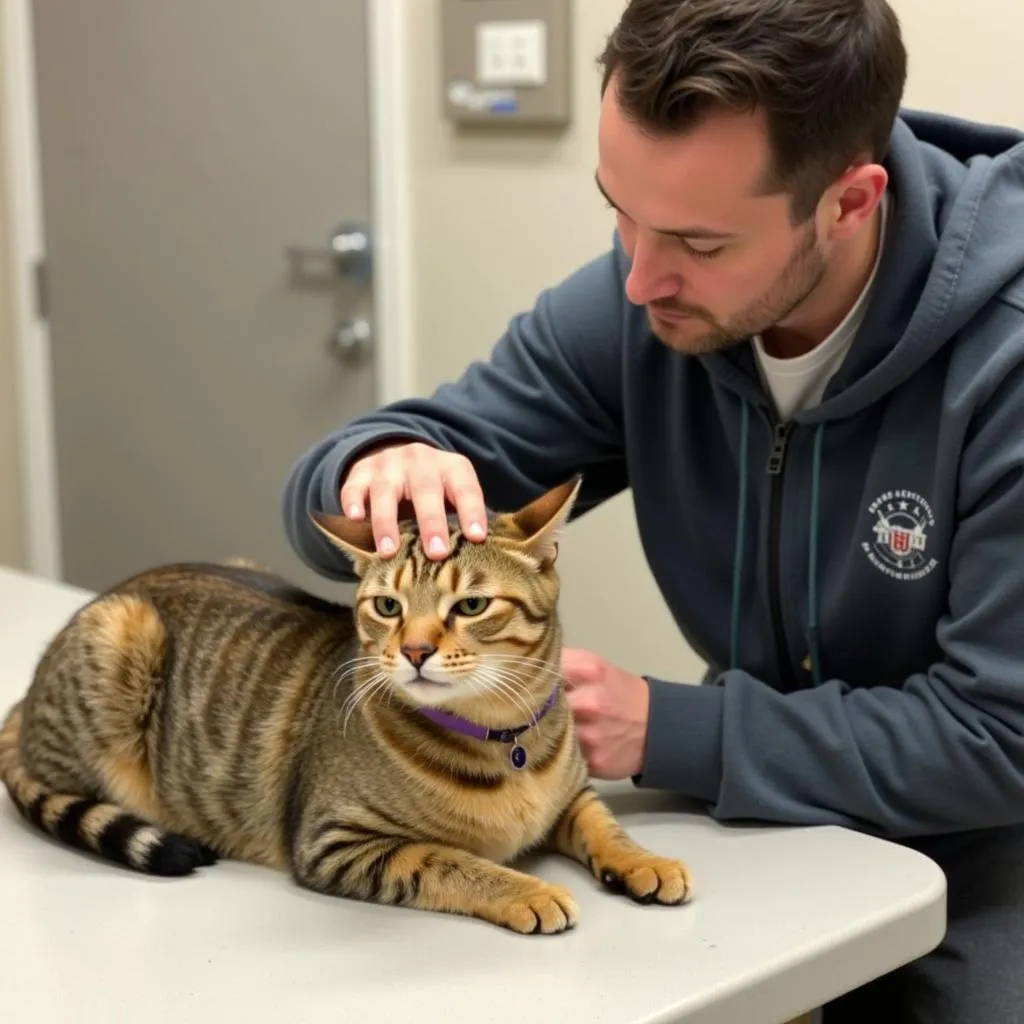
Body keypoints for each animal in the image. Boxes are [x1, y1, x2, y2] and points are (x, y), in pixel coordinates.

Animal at [0, 475, 692, 933]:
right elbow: (449, 861)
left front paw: (644, 861)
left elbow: (603, 824)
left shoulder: (571, 794)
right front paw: (527, 889)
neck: (502, 738)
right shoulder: (337, 840)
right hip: (123, 634)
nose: (413, 650)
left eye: (471, 605)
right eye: (387, 606)